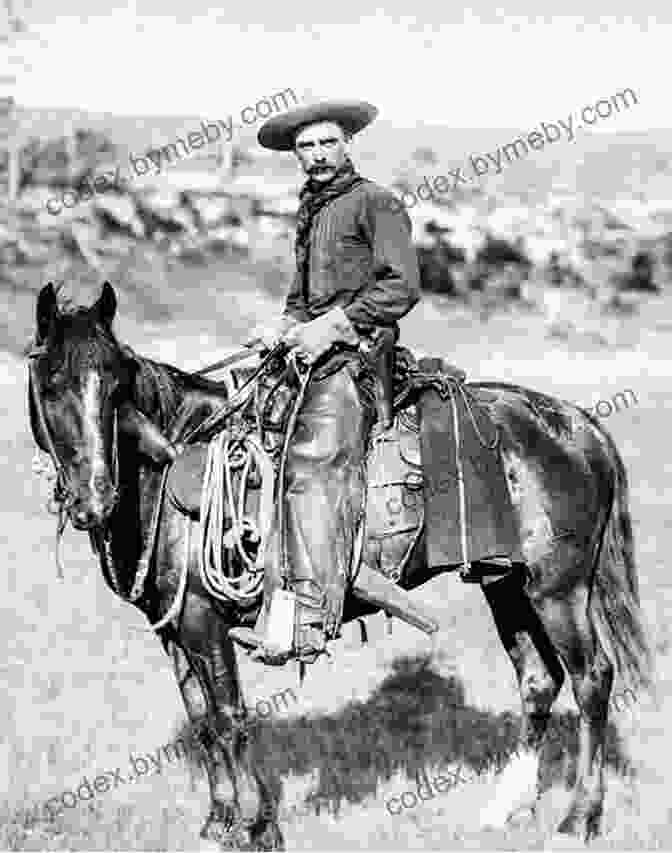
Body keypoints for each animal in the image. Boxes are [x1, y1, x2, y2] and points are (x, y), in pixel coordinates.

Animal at [27, 280, 652, 844]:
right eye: (51, 384)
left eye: (115, 385)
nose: (94, 499)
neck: (172, 462)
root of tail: (578, 424)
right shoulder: (175, 629)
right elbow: (204, 721)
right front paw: (218, 821)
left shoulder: (205, 622)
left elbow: (230, 719)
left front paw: (256, 827)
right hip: (505, 584)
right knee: (539, 679)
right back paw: (505, 808)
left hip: (559, 589)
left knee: (592, 679)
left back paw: (579, 818)